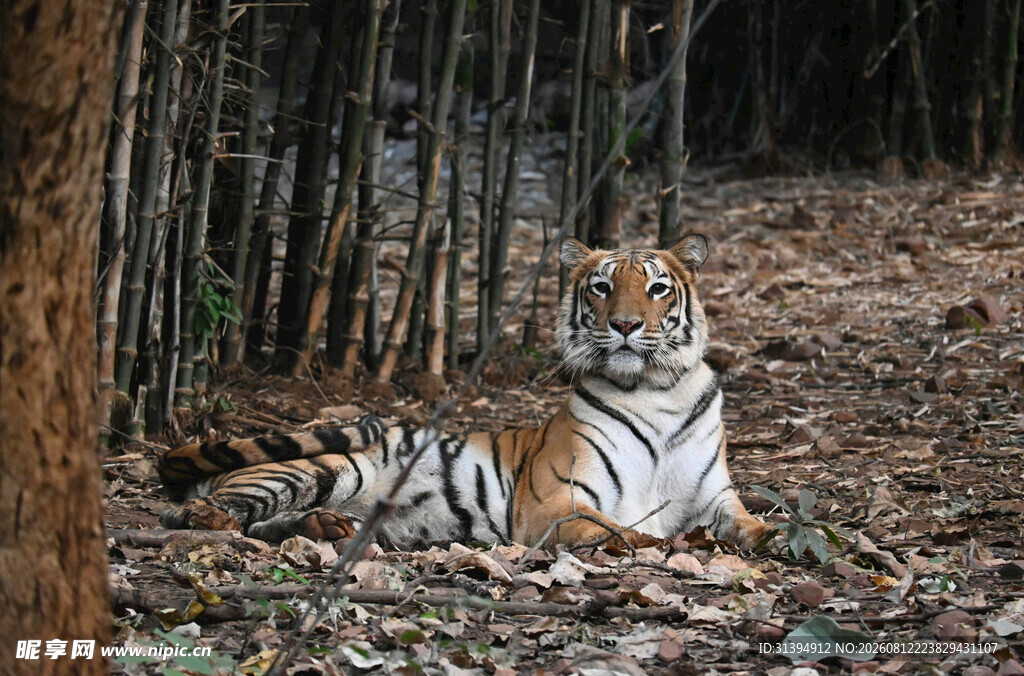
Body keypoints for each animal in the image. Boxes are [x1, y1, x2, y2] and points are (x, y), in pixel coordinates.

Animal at [158, 235, 770, 550]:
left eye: (657, 288)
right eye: (601, 286)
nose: (624, 324)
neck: (656, 390)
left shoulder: (714, 497)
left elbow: (748, 522)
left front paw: (769, 536)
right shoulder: (558, 501)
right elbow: (619, 527)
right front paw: (656, 543)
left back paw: (326, 527)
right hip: (327, 465)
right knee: (200, 514)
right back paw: (214, 519)